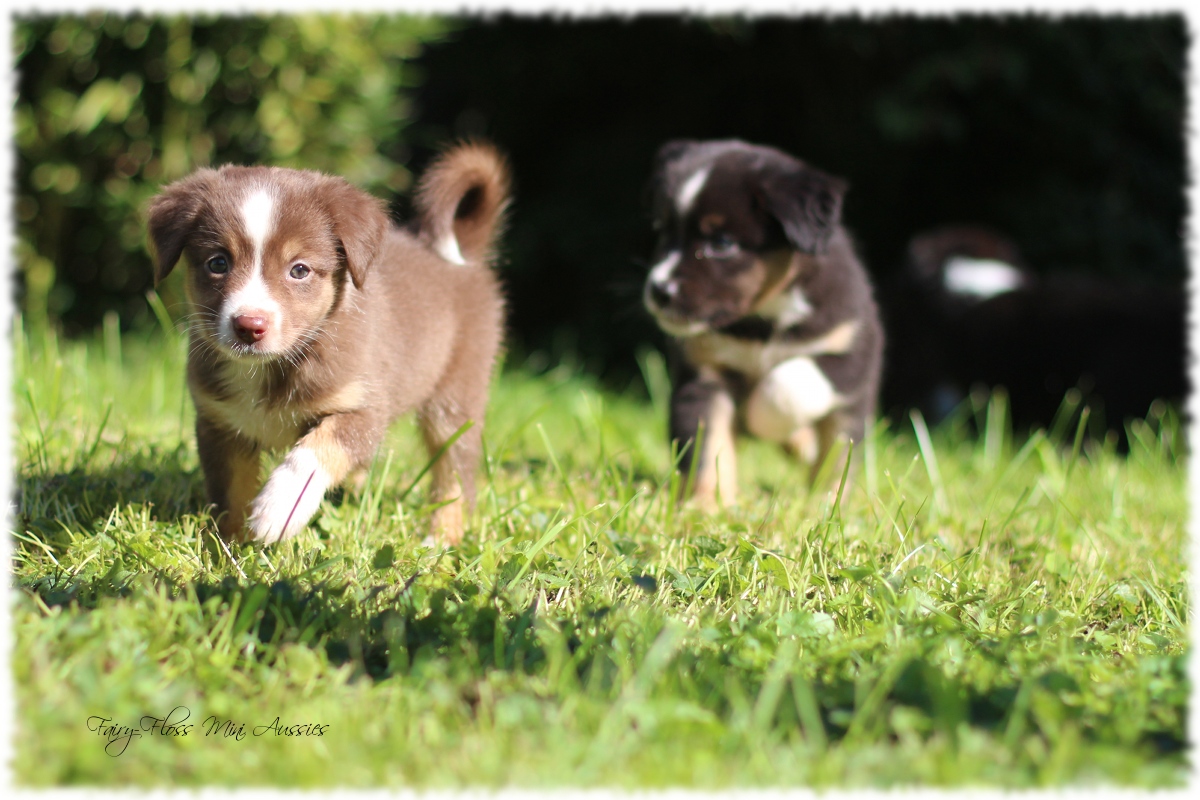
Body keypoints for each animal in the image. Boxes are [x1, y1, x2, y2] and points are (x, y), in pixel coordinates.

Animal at [147, 142, 508, 544]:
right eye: (218, 263)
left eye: (299, 270)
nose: (249, 326)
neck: (270, 369)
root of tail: (464, 252)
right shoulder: (220, 425)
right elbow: (231, 494)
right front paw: (228, 546)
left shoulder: (364, 408)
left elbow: (317, 450)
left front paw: (280, 509)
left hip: (457, 395)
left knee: (455, 474)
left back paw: (440, 539)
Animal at [643, 140, 888, 503]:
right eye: (661, 230)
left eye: (722, 243)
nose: (659, 290)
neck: (760, 324)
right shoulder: (704, 373)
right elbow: (706, 445)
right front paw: (707, 504)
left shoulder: (855, 346)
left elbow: (788, 384)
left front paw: (760, 418)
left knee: (835, 455)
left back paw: (826, 500)